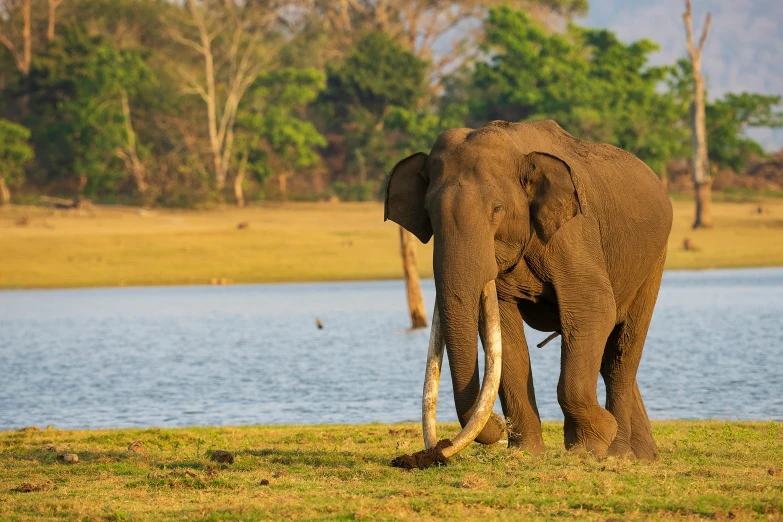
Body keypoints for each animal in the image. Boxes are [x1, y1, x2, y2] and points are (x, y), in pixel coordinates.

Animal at [382, 119, 672, 460]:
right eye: (429, 213)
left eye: (497, 209)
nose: (435, 452)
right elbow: (504, 336)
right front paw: (526, 453)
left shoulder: (573, 233)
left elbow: (593, 309)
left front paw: (590, 444)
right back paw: (644, 455)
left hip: (654, 259)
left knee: (621, 352)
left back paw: (619, 453)